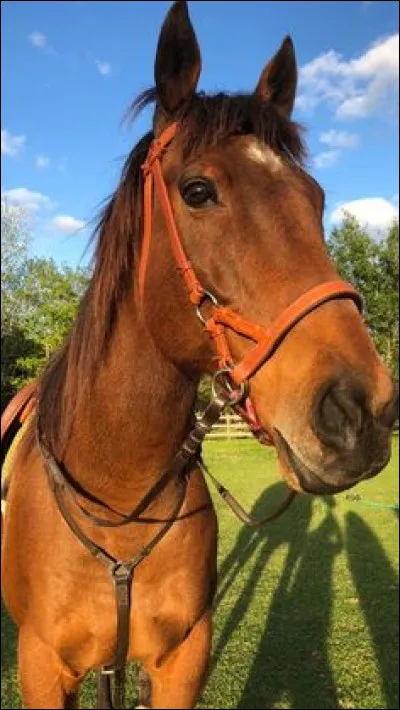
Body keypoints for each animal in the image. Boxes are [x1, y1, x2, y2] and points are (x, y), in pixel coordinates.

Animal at [1, 2, 398, 708]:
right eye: (197, 190)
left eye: (317, 199)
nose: (364, 411)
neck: (120, 502)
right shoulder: (41, 666)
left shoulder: (182, 661)